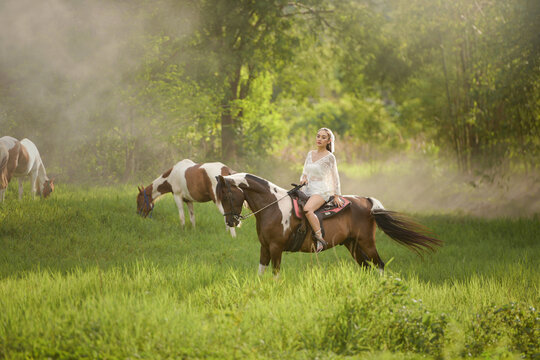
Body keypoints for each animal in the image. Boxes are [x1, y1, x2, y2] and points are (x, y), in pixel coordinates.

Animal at [215, 173, 442, 274]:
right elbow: (261, 272)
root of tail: (367, 202)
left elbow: (275, 273)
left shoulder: (276, 248)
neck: (273, 206)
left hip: (367, 242)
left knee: (379, 265)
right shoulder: (265, 247)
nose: (231, 221)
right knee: (365, 267)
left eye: (227, 195)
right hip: (353, 245)